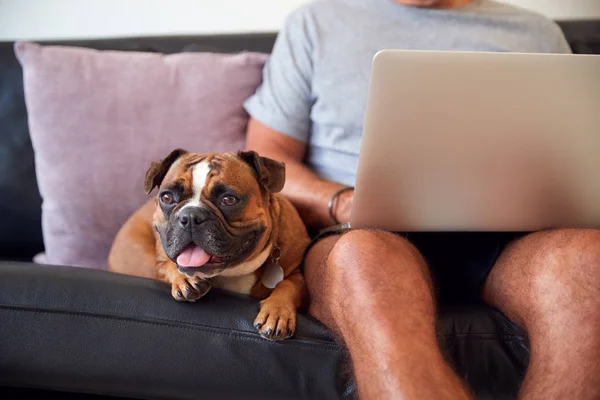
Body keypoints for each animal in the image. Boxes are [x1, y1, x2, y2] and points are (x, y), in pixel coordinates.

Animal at [108, 150, 312, 340]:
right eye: (167, 197)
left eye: (229, 200)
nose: (190, 216)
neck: (232, 273)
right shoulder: (161, 263)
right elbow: (169, 266)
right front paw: (185, 279)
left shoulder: (298, 275)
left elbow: (288, 285)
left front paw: (277, 311)